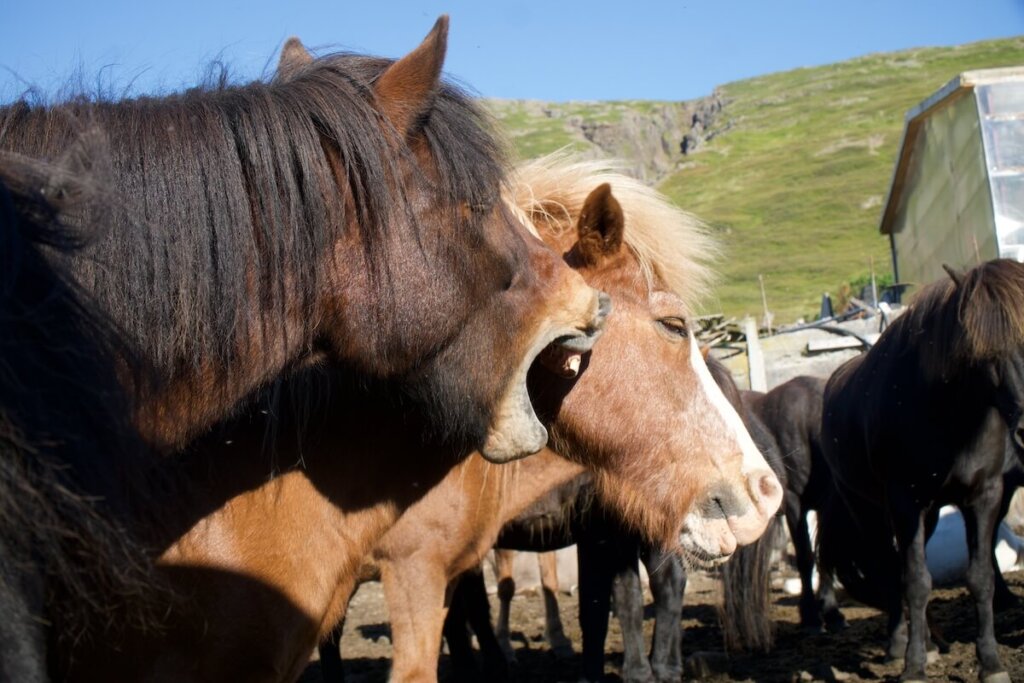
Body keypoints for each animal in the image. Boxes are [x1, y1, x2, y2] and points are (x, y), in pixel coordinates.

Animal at [818, 259, 1024, 683]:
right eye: (985, 351)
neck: (950, 414)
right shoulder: (905, 502)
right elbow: (915, 582)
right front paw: (913, 666)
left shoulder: (985, 495)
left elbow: (980, 578)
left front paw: (991, 663)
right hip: (868, 510)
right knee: (889, 567)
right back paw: (903, 645)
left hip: (926, 515)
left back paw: (929, 642)